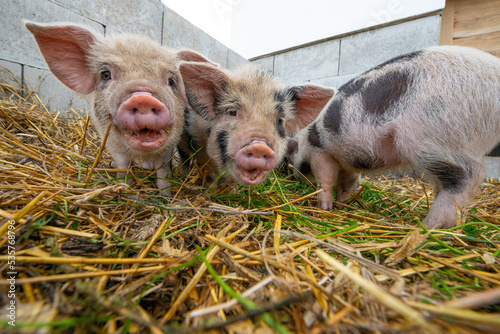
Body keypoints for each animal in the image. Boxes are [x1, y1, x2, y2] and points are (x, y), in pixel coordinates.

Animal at [178, 63, 334, 185]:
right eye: (232, 112)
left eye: (280, 120)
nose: (260, 146)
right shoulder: (200, 144)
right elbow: (209, 173)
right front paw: (210, 190)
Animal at [288, 46, 500, 230]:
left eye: (290, 153)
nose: (292, 176)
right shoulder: (348, 161)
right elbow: (348, 181)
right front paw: (343, 202)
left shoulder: (319, 150)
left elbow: (325, 179)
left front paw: (325, 207)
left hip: (429, 136)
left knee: (471, 173)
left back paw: (425, 227)